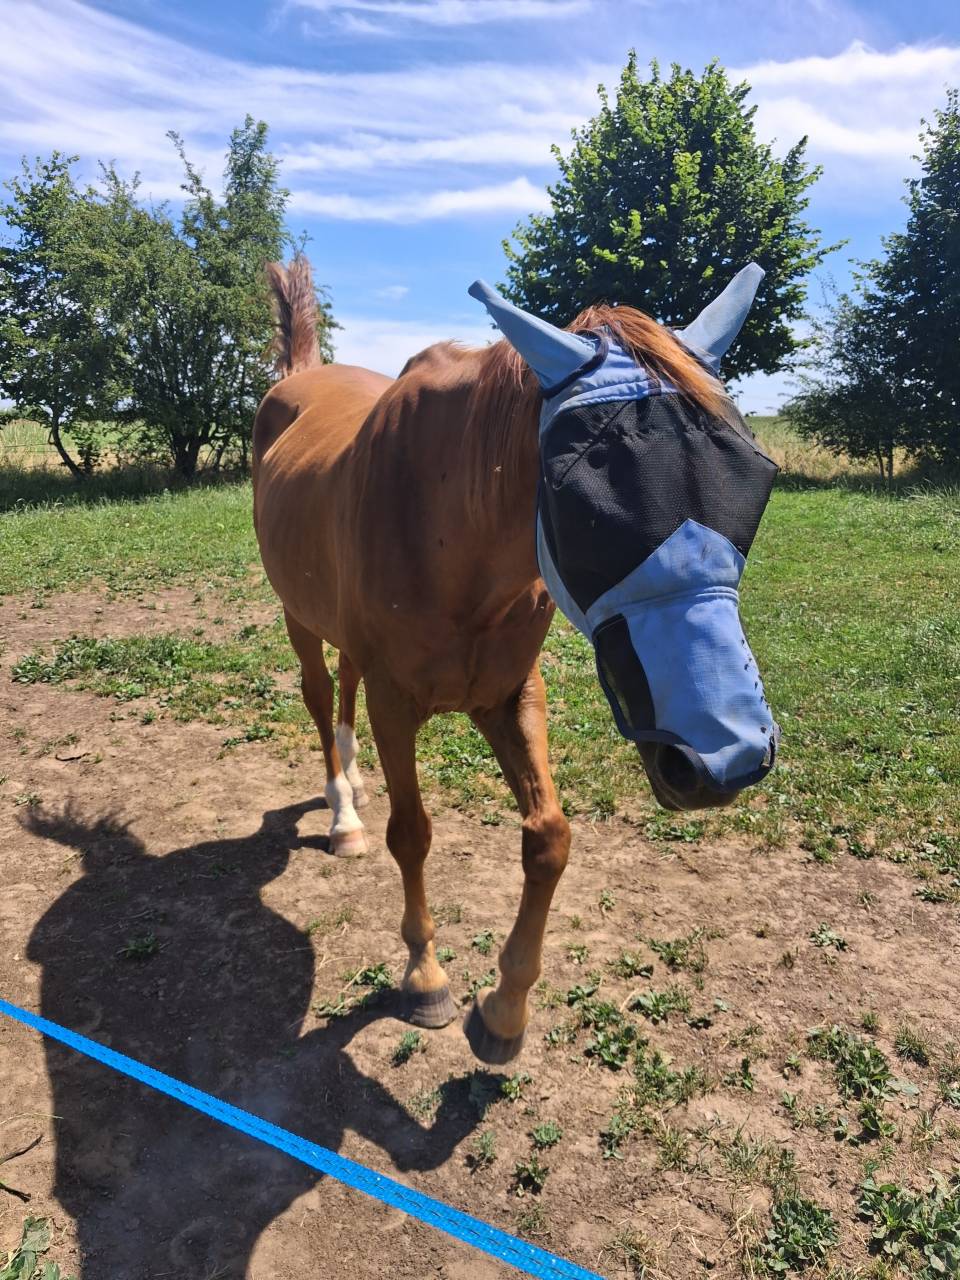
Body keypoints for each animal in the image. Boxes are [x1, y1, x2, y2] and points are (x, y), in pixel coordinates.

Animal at [252, 257, 778, 1063]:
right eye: (585, 499)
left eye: (756, 476)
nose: (725, 756)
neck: (451, 526)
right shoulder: (395, 702)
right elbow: (413, 834)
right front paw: (426, 976)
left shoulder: (509, 695)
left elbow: (549, 838)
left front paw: (505, 1009)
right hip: (298, 617)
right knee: (319, 694)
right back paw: (343, 813)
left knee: (342, 686)